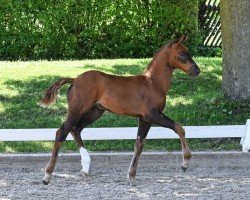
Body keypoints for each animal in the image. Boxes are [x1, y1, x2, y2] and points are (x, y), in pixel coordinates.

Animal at [41, 35, 201, 184]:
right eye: (182, 54)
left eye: (189, 52)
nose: (197, 71)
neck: (153, 83)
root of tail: (74, 80)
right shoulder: (152, 115)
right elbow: (179, 128)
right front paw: (185, 163)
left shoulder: (143, 119)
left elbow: (139, 145)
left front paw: (131, 176)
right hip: (77, 111)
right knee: (61, 132)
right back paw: (47, 175)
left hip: (95, 112)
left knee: (76, 130)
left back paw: (85, 167)